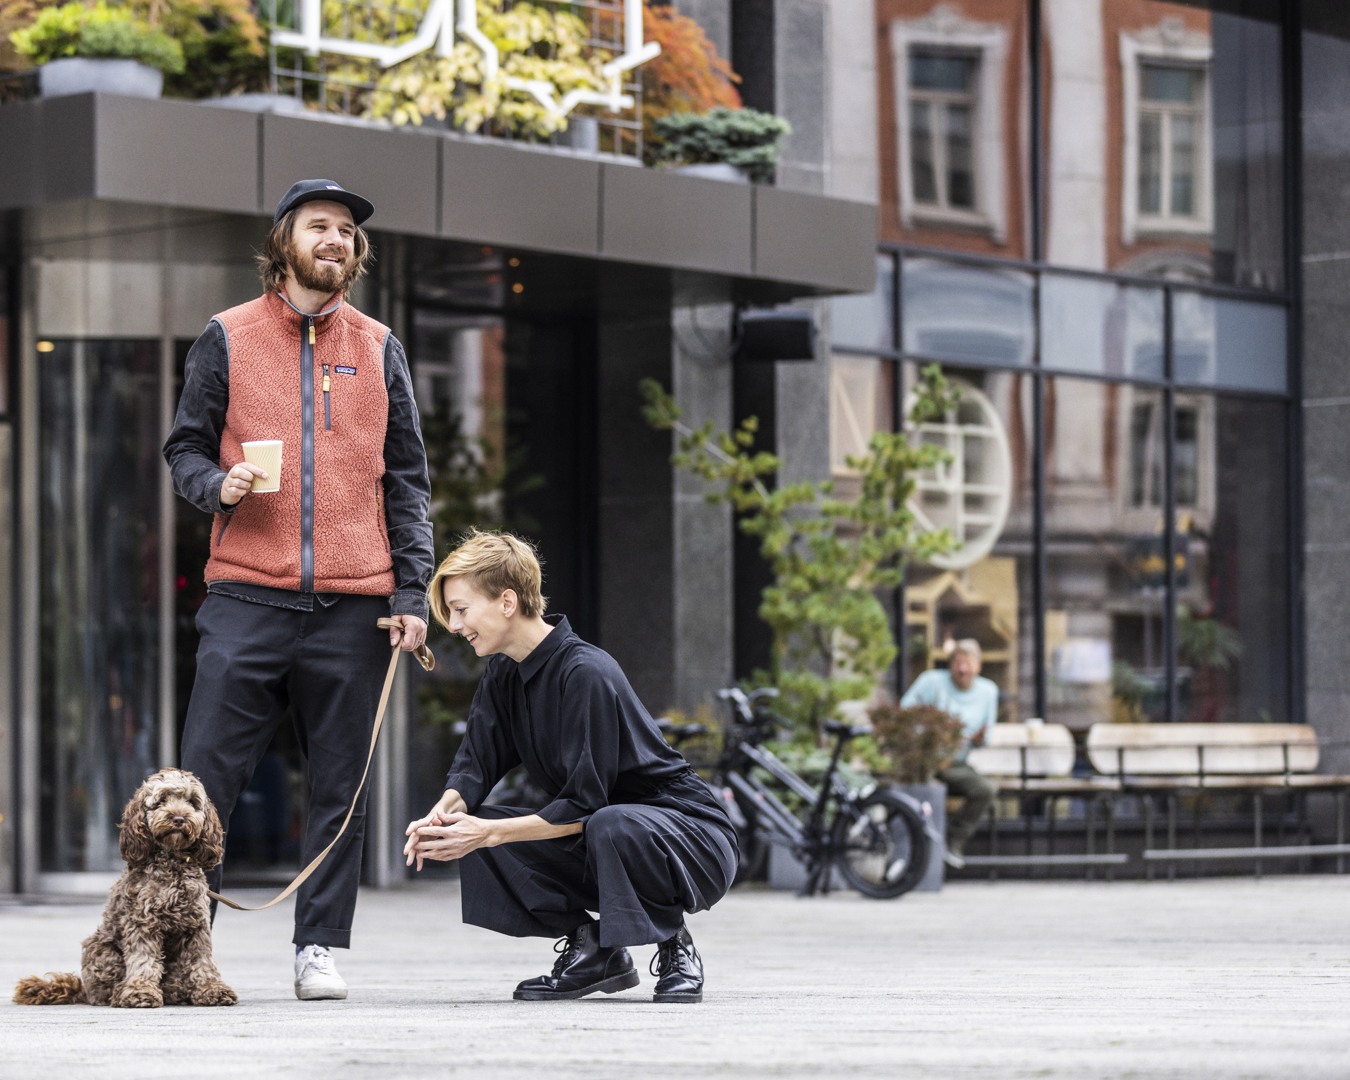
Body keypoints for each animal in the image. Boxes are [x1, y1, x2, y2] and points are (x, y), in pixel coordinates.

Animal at [11, 761, 238, 1009]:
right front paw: (140, 991)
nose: (179, 818)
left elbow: (201, 960)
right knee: (107, 990)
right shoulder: (143, 922)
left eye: (192, 802)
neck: (171, 862)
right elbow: (143, 960)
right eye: (161, 801)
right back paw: (122, 993)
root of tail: (85, 991)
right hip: (100, 948)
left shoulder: (196, 925)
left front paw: (211, 989)